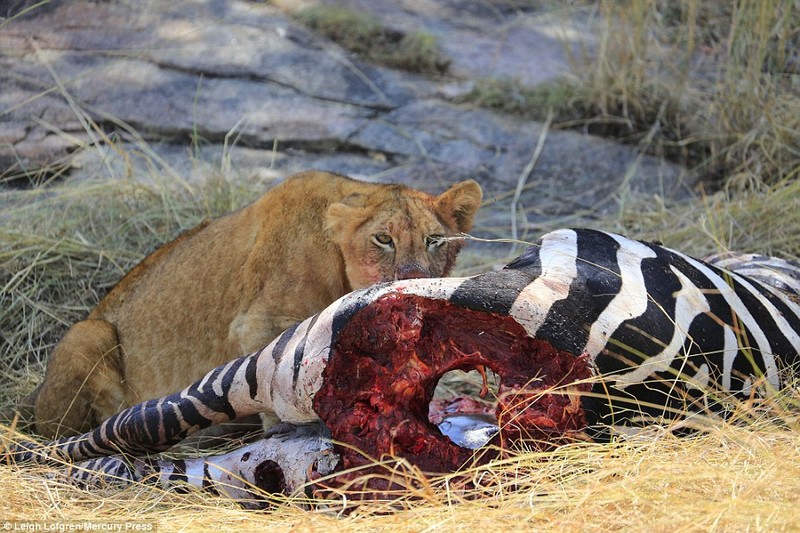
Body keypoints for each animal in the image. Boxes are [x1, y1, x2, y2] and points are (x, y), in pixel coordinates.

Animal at [17, 170, 482, 436]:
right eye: (383, 239)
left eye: (434, 240)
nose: (415, 277)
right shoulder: (259, 322)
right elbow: (273, 380)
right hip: (87, 333)